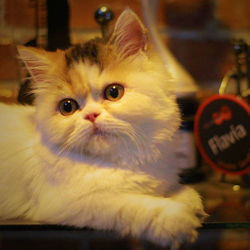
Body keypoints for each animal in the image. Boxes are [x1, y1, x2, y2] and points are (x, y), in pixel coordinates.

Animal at [0, 8, 205, 249]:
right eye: (67, 107)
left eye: (113, 92)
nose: (91, 116)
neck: (121, 159)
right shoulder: (74, 202)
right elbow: (133, 204)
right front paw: (178, 219)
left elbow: (176, 191)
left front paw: (190, 202)